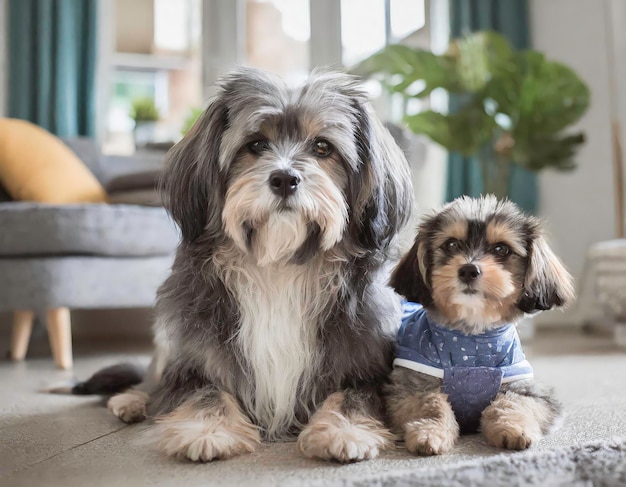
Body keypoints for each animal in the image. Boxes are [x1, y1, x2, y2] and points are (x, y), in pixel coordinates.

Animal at [388, 196, 572, 456]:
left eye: (501, 249)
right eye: (451, 245)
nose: (468, 269)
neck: (472, 346)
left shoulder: (531, 391)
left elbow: (512, 402)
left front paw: (513, 428)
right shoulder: (408, 388)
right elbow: (432, 404)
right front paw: (431, 431)